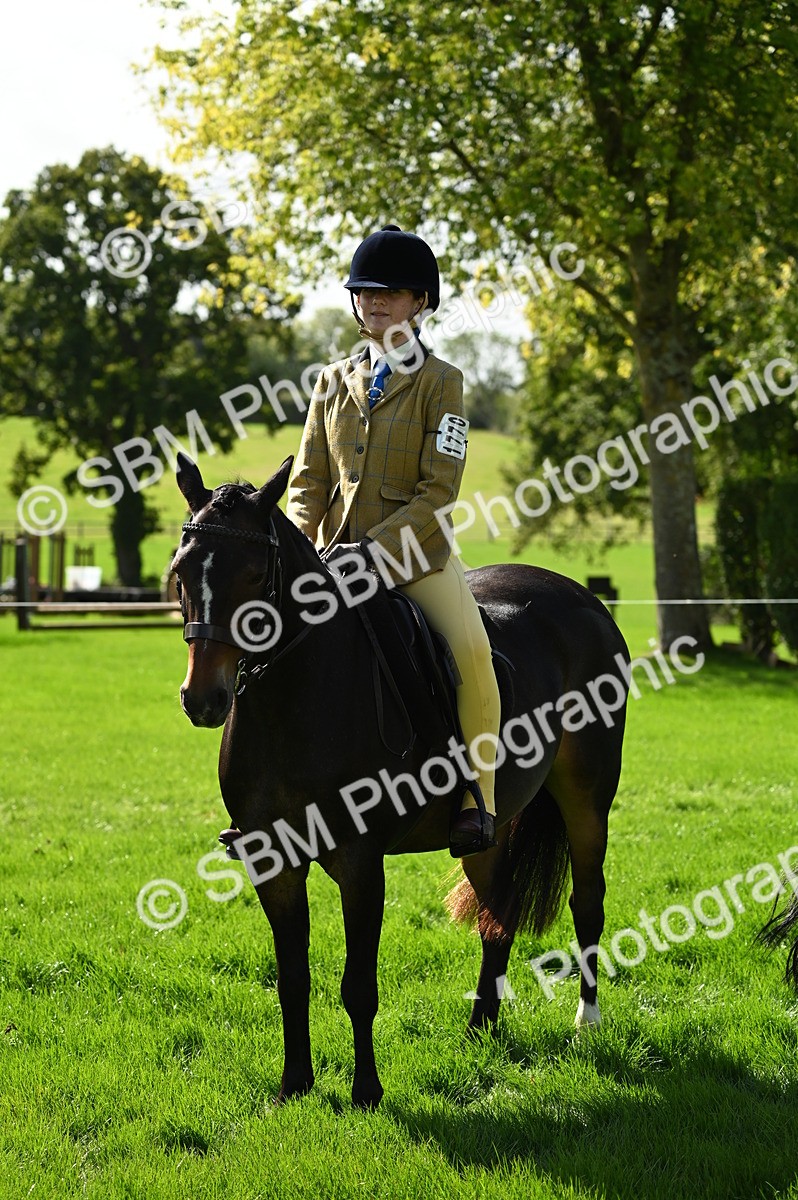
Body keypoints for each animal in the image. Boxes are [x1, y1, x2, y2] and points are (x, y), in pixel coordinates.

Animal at [172, 452, 630, 1109]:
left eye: (257, 574)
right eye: (182, 572)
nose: (203, 699)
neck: (294, 702)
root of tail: (584, 598)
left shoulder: (361, 861)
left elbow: (358, 984)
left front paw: (366, 1091)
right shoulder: (273, 860)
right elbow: (292, 978)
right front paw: (294, 1085)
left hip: (588, 800)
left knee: (587, 901)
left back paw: (585, 1021)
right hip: (487, 831)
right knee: (496, 917)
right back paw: (480, 1029)